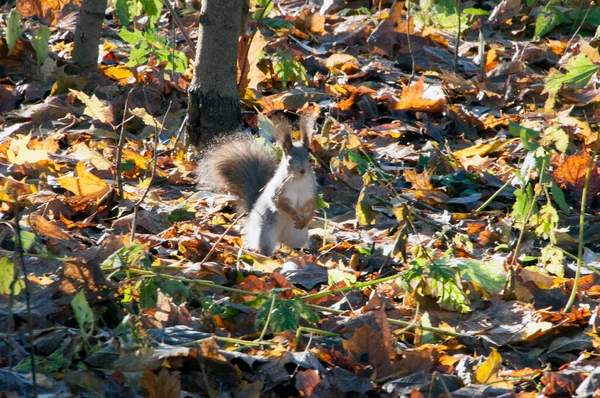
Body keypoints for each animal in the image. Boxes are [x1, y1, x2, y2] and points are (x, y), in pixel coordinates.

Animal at [203, 113, 318, 255]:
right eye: (290, 161)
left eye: (310, 160)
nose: (302, 171)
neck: (298, 181)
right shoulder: (278, 190)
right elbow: (279, 203)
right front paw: (294, 213)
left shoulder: (310, 191)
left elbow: (311, 205)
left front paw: (306, 219)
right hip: (266, 233)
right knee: (265, 248)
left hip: (297, 235)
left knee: (292, 246)